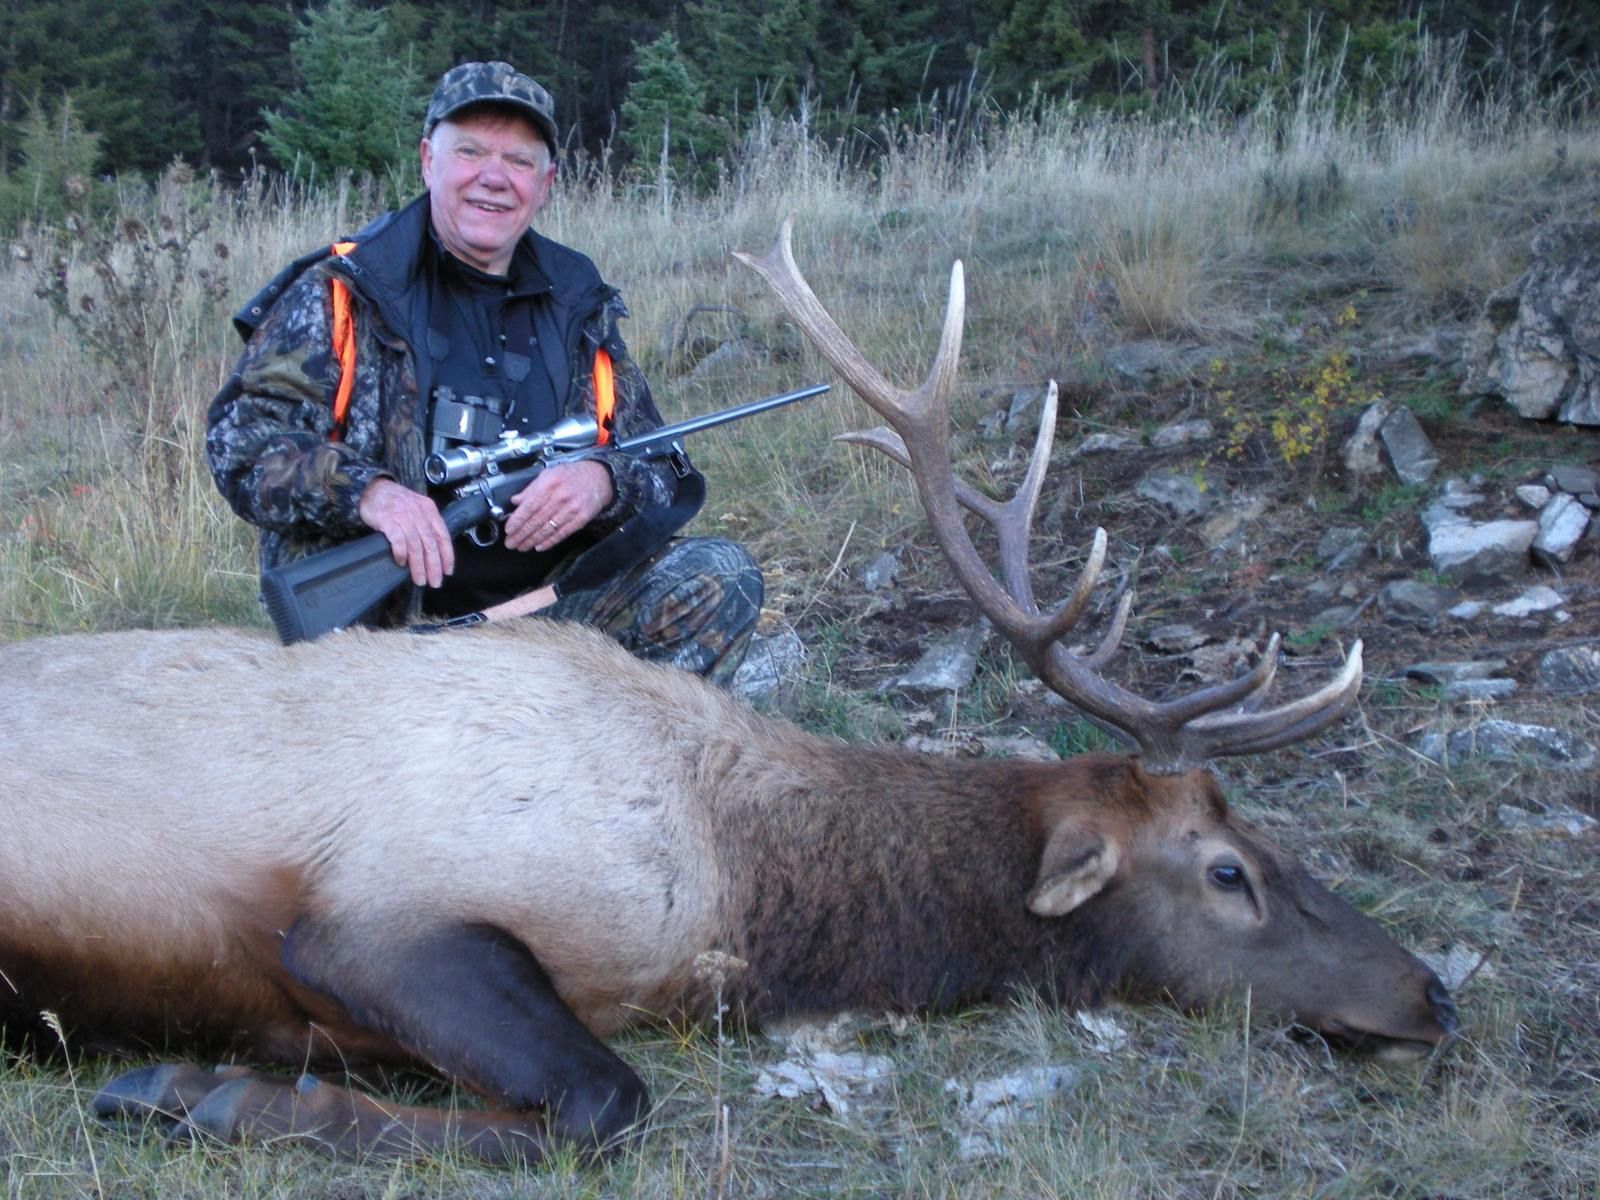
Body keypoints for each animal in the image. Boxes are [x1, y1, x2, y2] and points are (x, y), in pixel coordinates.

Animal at [0, 218, 1457, 1164]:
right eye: (1227, 869)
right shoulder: (371, 916)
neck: (744, 886)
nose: (1431, 993)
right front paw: (199, 1095)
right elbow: (597, 1108)